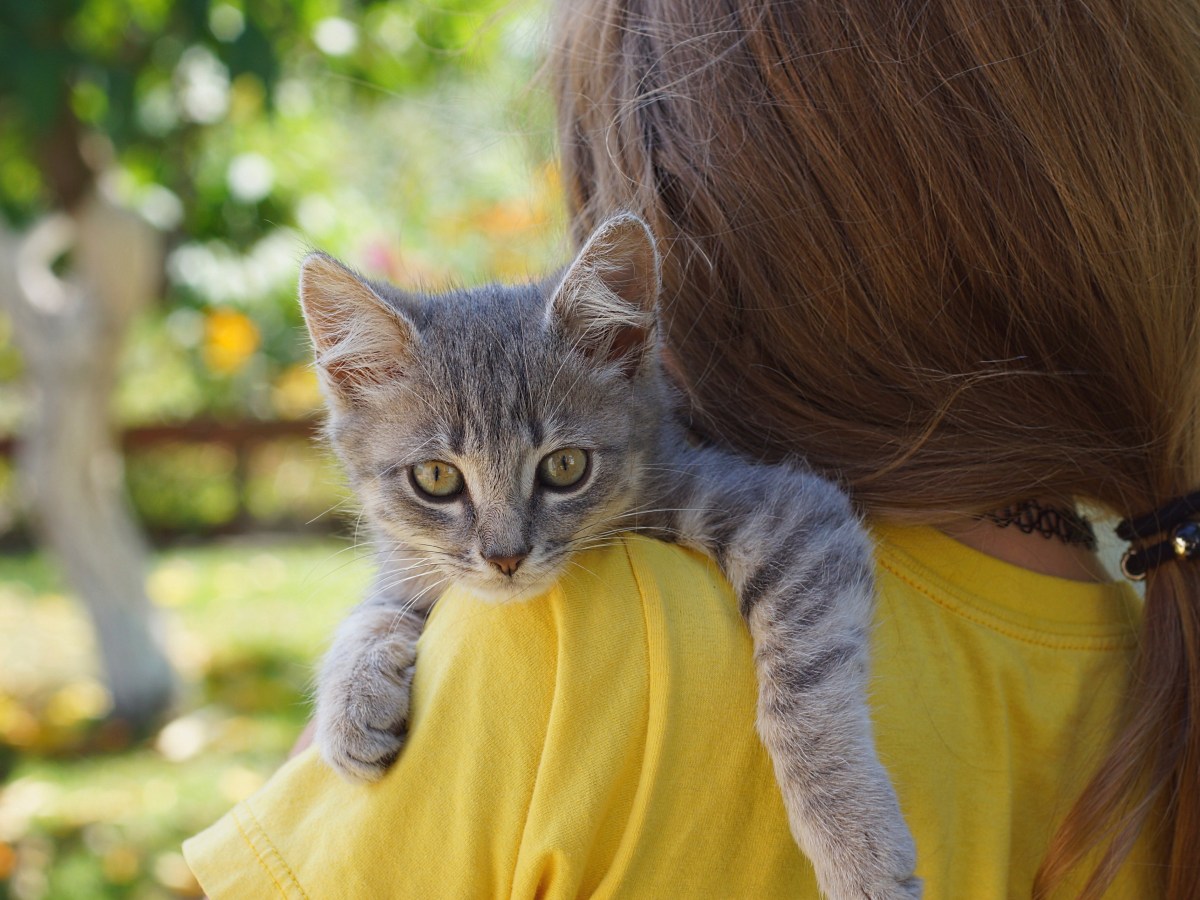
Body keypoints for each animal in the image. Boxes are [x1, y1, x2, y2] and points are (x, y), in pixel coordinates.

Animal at [297, 213, 916, 900]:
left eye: (565, 467)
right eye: (436, 478)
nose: (506, 557)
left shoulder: (791, 512)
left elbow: (803, 694)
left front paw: (853, 839)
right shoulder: (421, 569)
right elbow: (376, 609)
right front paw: (349, 706)